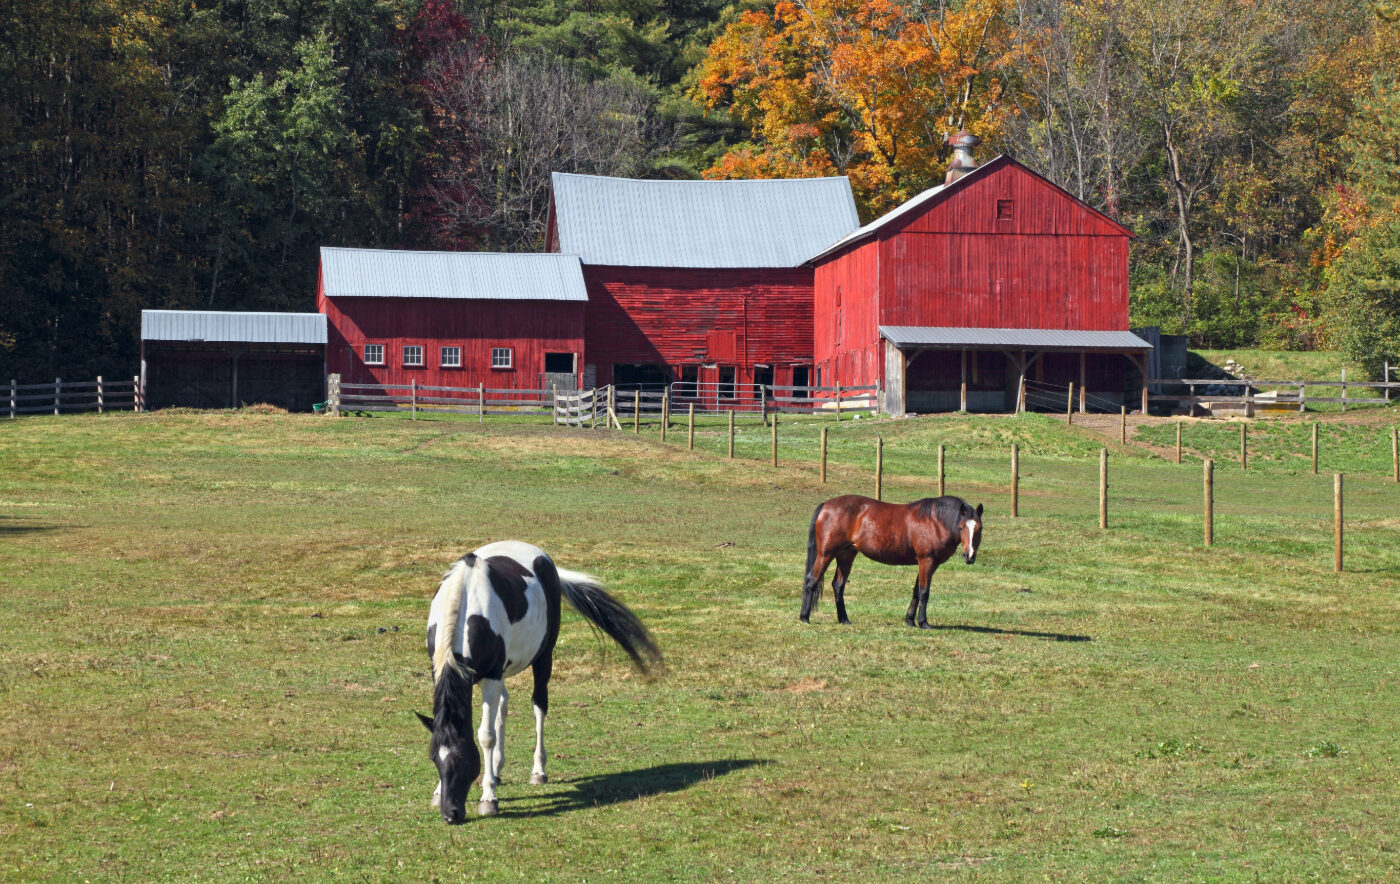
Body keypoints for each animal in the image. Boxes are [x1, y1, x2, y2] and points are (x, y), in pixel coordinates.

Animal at [416, 540, 661, 824]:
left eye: (463, 759)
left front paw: (488, 798)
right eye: (435, 759)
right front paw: (439, 792)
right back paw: (497, 770)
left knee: (538, 707)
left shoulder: (492, 675)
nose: (451, 814)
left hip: (543, 658)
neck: (467, 601)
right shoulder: (443, 670)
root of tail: (543, 557)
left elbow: (486, 736)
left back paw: (537, 771)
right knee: (503, 705)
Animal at [799, 495, 983, 629]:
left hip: (846, 554)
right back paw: (804, 617)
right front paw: (923, 622)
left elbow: (916, 591)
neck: (935, 521)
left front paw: (910, 620)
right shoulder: (927, 561)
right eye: (961, 527)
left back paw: (844, 619)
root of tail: (826, 505)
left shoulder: (925, 563)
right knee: (812, 580)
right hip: (826, 554)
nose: (969, 555)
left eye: (979, 528)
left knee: (838, 585)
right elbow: (924, 592)